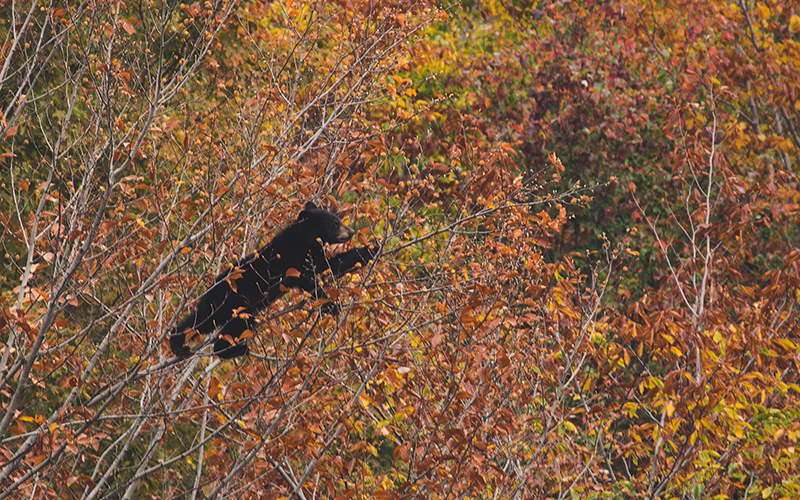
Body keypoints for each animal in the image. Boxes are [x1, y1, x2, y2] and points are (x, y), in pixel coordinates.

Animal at [169, 201, 377, 359]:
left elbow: (331, 265)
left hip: (224, 307)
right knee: (221, 324)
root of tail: (212, 288)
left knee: (203, 322)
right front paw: (332, 305)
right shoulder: (293, 259)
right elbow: (314, 276)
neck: (303, 239)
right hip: (236, 301)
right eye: (335, 223)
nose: (351, 231)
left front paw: (372, 249)